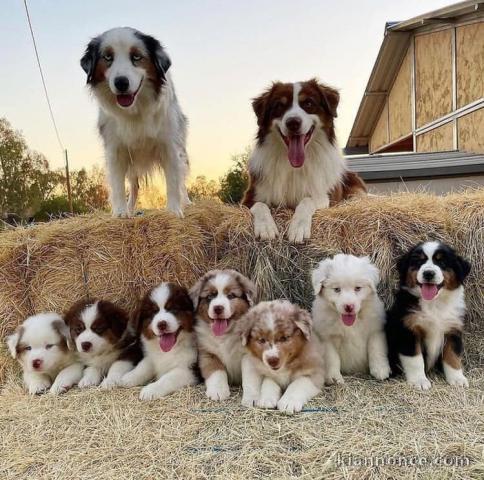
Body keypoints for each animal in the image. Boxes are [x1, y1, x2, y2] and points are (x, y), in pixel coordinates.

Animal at [81, 26, 189, 218]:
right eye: (108, 57)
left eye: (136, 57)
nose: (121, 82)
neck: (135, 110)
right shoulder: (115, 149)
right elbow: (118, 185)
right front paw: (121, 213)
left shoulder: (169, 145)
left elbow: (173, 181)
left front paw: (174, 211)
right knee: (134, 186)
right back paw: (131, 208)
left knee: (182, 178)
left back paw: (188, 202)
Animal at [189, 270, 258, 402]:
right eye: (210, 296)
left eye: (231, 296)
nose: (218, 308)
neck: (225, 335)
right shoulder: (207, 353)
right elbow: (216, 372)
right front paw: (218, 392)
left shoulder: (248, 355)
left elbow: (250, 377)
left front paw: (252, 397)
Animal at [244, 80, 364, 244]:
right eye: (279, 105)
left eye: (308, 103)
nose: (293, 122)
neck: (293, 166)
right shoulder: (249, 197)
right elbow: (260, 204)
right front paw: (266, 227)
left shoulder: (326, 197)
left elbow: (307, 200)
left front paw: (298, 227)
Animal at [312, 253, 392, 384]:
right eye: (337, 289)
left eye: (357, 288)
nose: (349, 306)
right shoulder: (327, 337)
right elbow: (332, 357)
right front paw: (334, 377)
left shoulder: (375, 330)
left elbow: (376, 348)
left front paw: (381, 370)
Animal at [384, 240, 470, 390]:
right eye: (419, 261)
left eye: (442, 262)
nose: (428, 273)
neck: (434, 304)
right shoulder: (408, 330)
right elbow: (415, 360)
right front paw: (419, 381)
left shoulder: (453, 330)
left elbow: (453, 356)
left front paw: (457, 379)